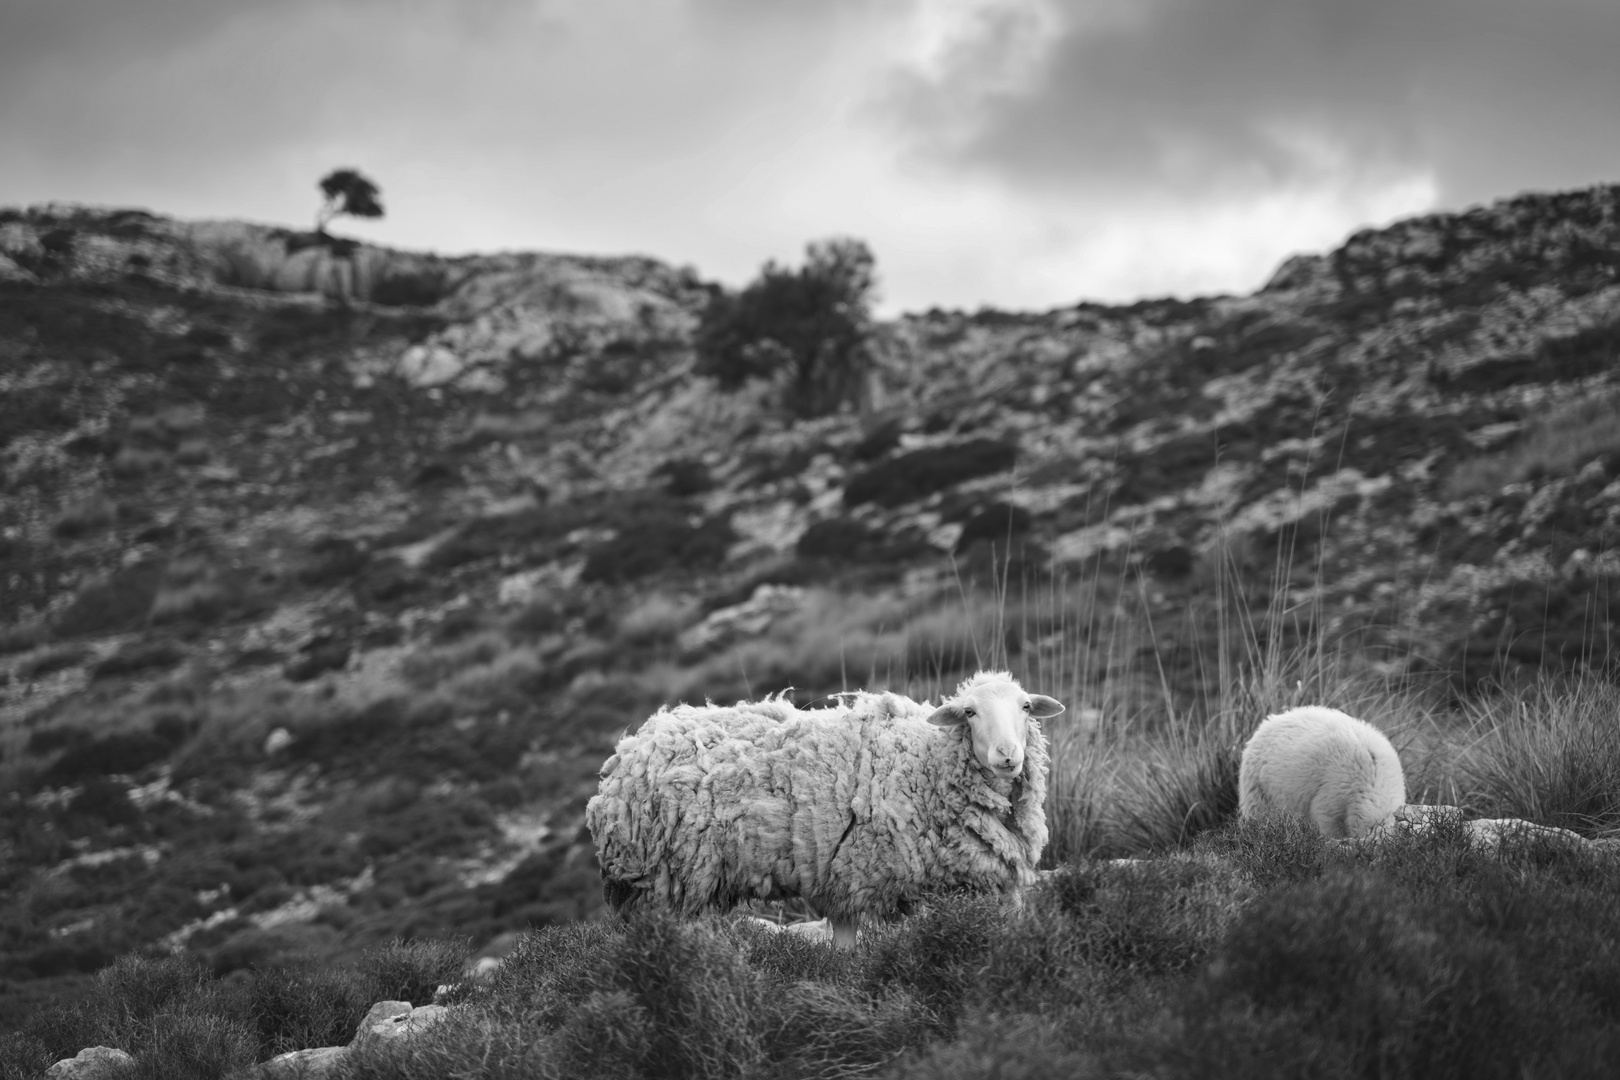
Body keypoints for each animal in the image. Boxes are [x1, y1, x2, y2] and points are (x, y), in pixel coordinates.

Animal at [583, 670, 1062, 952]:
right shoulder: (853, 875)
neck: (927, 760)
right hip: (664, 882)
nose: (1007, 755)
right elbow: (846, 951)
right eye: (970, 711)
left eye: (1025, 707)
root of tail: (631, 747)